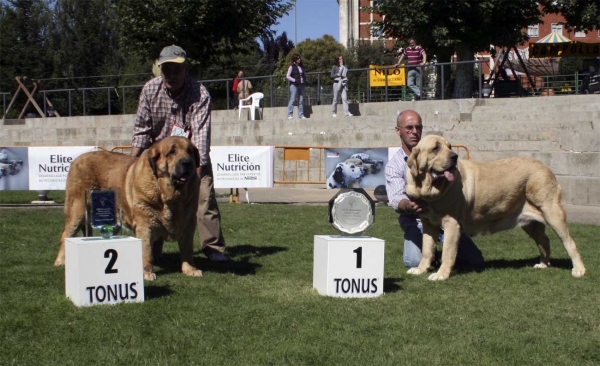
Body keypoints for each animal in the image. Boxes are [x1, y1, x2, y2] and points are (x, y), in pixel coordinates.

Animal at [52, 137, 202, 280]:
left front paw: (190, 269)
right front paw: (146, 272)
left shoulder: (189, 222)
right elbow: (146, 249)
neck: (171, 195)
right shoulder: (145, 223)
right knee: (66, 234)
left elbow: (187, 249)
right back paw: (60, 261)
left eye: (189, 151)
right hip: (77, 209)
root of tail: (77, 159)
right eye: (172, 152)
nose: (186, 162)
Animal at [404, 134, 584, 280]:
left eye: (449, 147)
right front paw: (420, 269)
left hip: (553, 213)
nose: (454, 156)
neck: (429, 187)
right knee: (544, 241)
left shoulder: (451, 223)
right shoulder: (428, 224)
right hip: (531, 223)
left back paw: (579, 269)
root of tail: (545, 166)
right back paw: (543, 264)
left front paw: (441, 274)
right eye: (436, 148)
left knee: (569, 242)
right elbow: (427, 250)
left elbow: (447, 252)